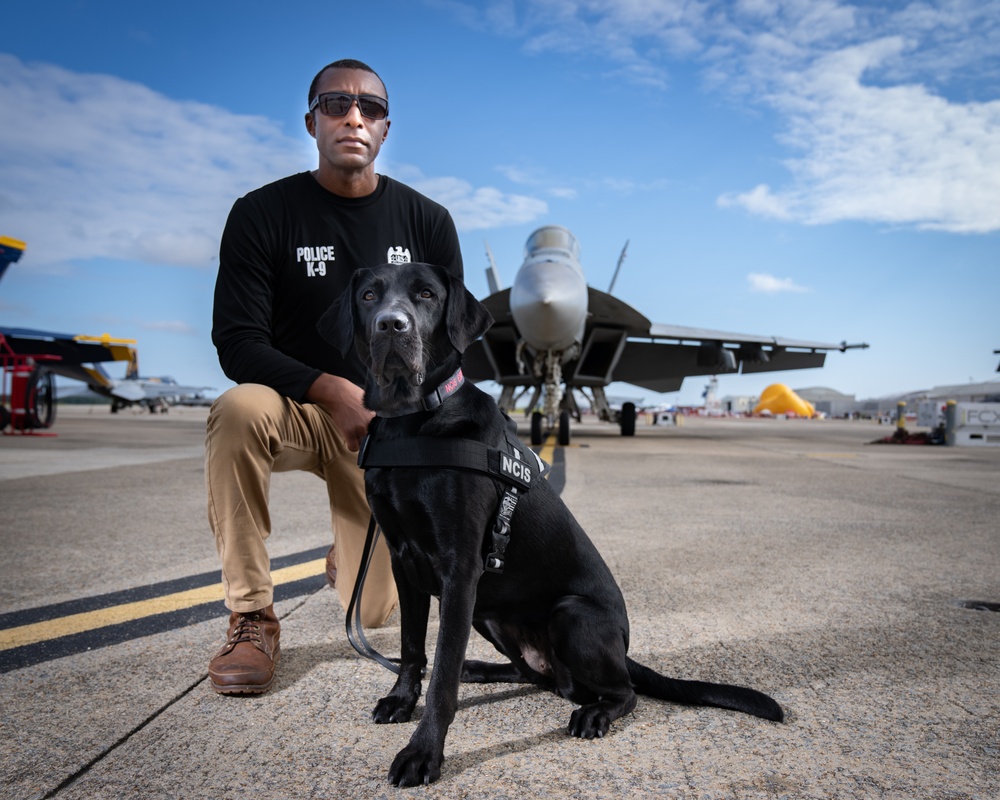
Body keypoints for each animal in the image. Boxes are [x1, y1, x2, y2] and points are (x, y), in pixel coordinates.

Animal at [320, 264, 780, 788]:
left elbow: (442, 676)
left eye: (427, 295)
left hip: (570, 615)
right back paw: (481, 668)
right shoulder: (404, 561)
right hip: (487, 613)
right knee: (532, 675)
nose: (391, 325)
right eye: (369, 296)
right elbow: (414, 648)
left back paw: (593, 713)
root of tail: (622, 649)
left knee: (623, 691)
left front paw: (423, 753)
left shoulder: (460, 569)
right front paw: (401, 699)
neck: (412, 422)